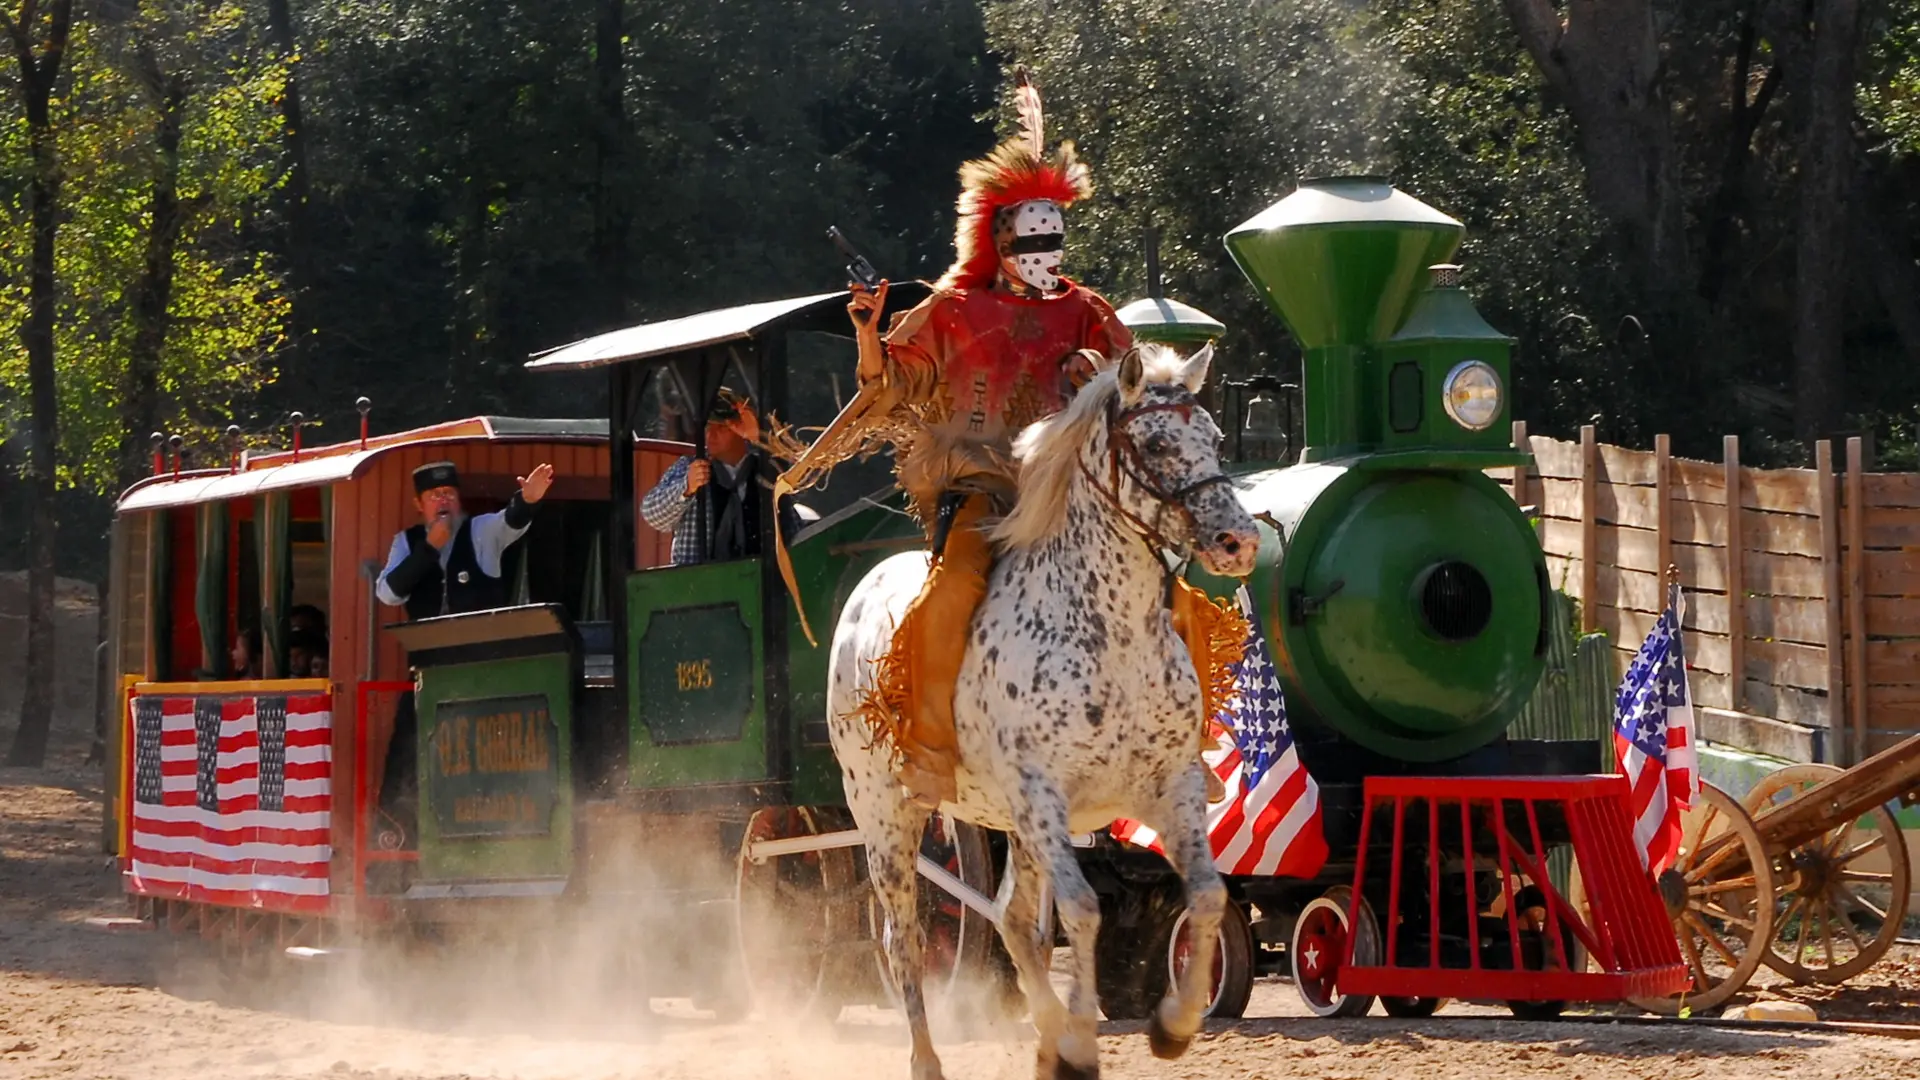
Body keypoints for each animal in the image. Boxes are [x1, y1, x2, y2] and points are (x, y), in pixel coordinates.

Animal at [829, 342, 1259, 1076]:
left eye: (1214, 435)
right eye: (1154, 442)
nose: (1239, 540)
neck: (1108, 637)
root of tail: (864, 593)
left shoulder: (1168, 787)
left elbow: (1207, 894)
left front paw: (1172, 1025)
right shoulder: (1044, 795)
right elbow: (1082, 909)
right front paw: (1084, 1042)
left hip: (1011, 826)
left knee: (1010, 918)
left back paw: (1049, 1036)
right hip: (888, 818)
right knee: (902, 938)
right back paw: (932, 1057)